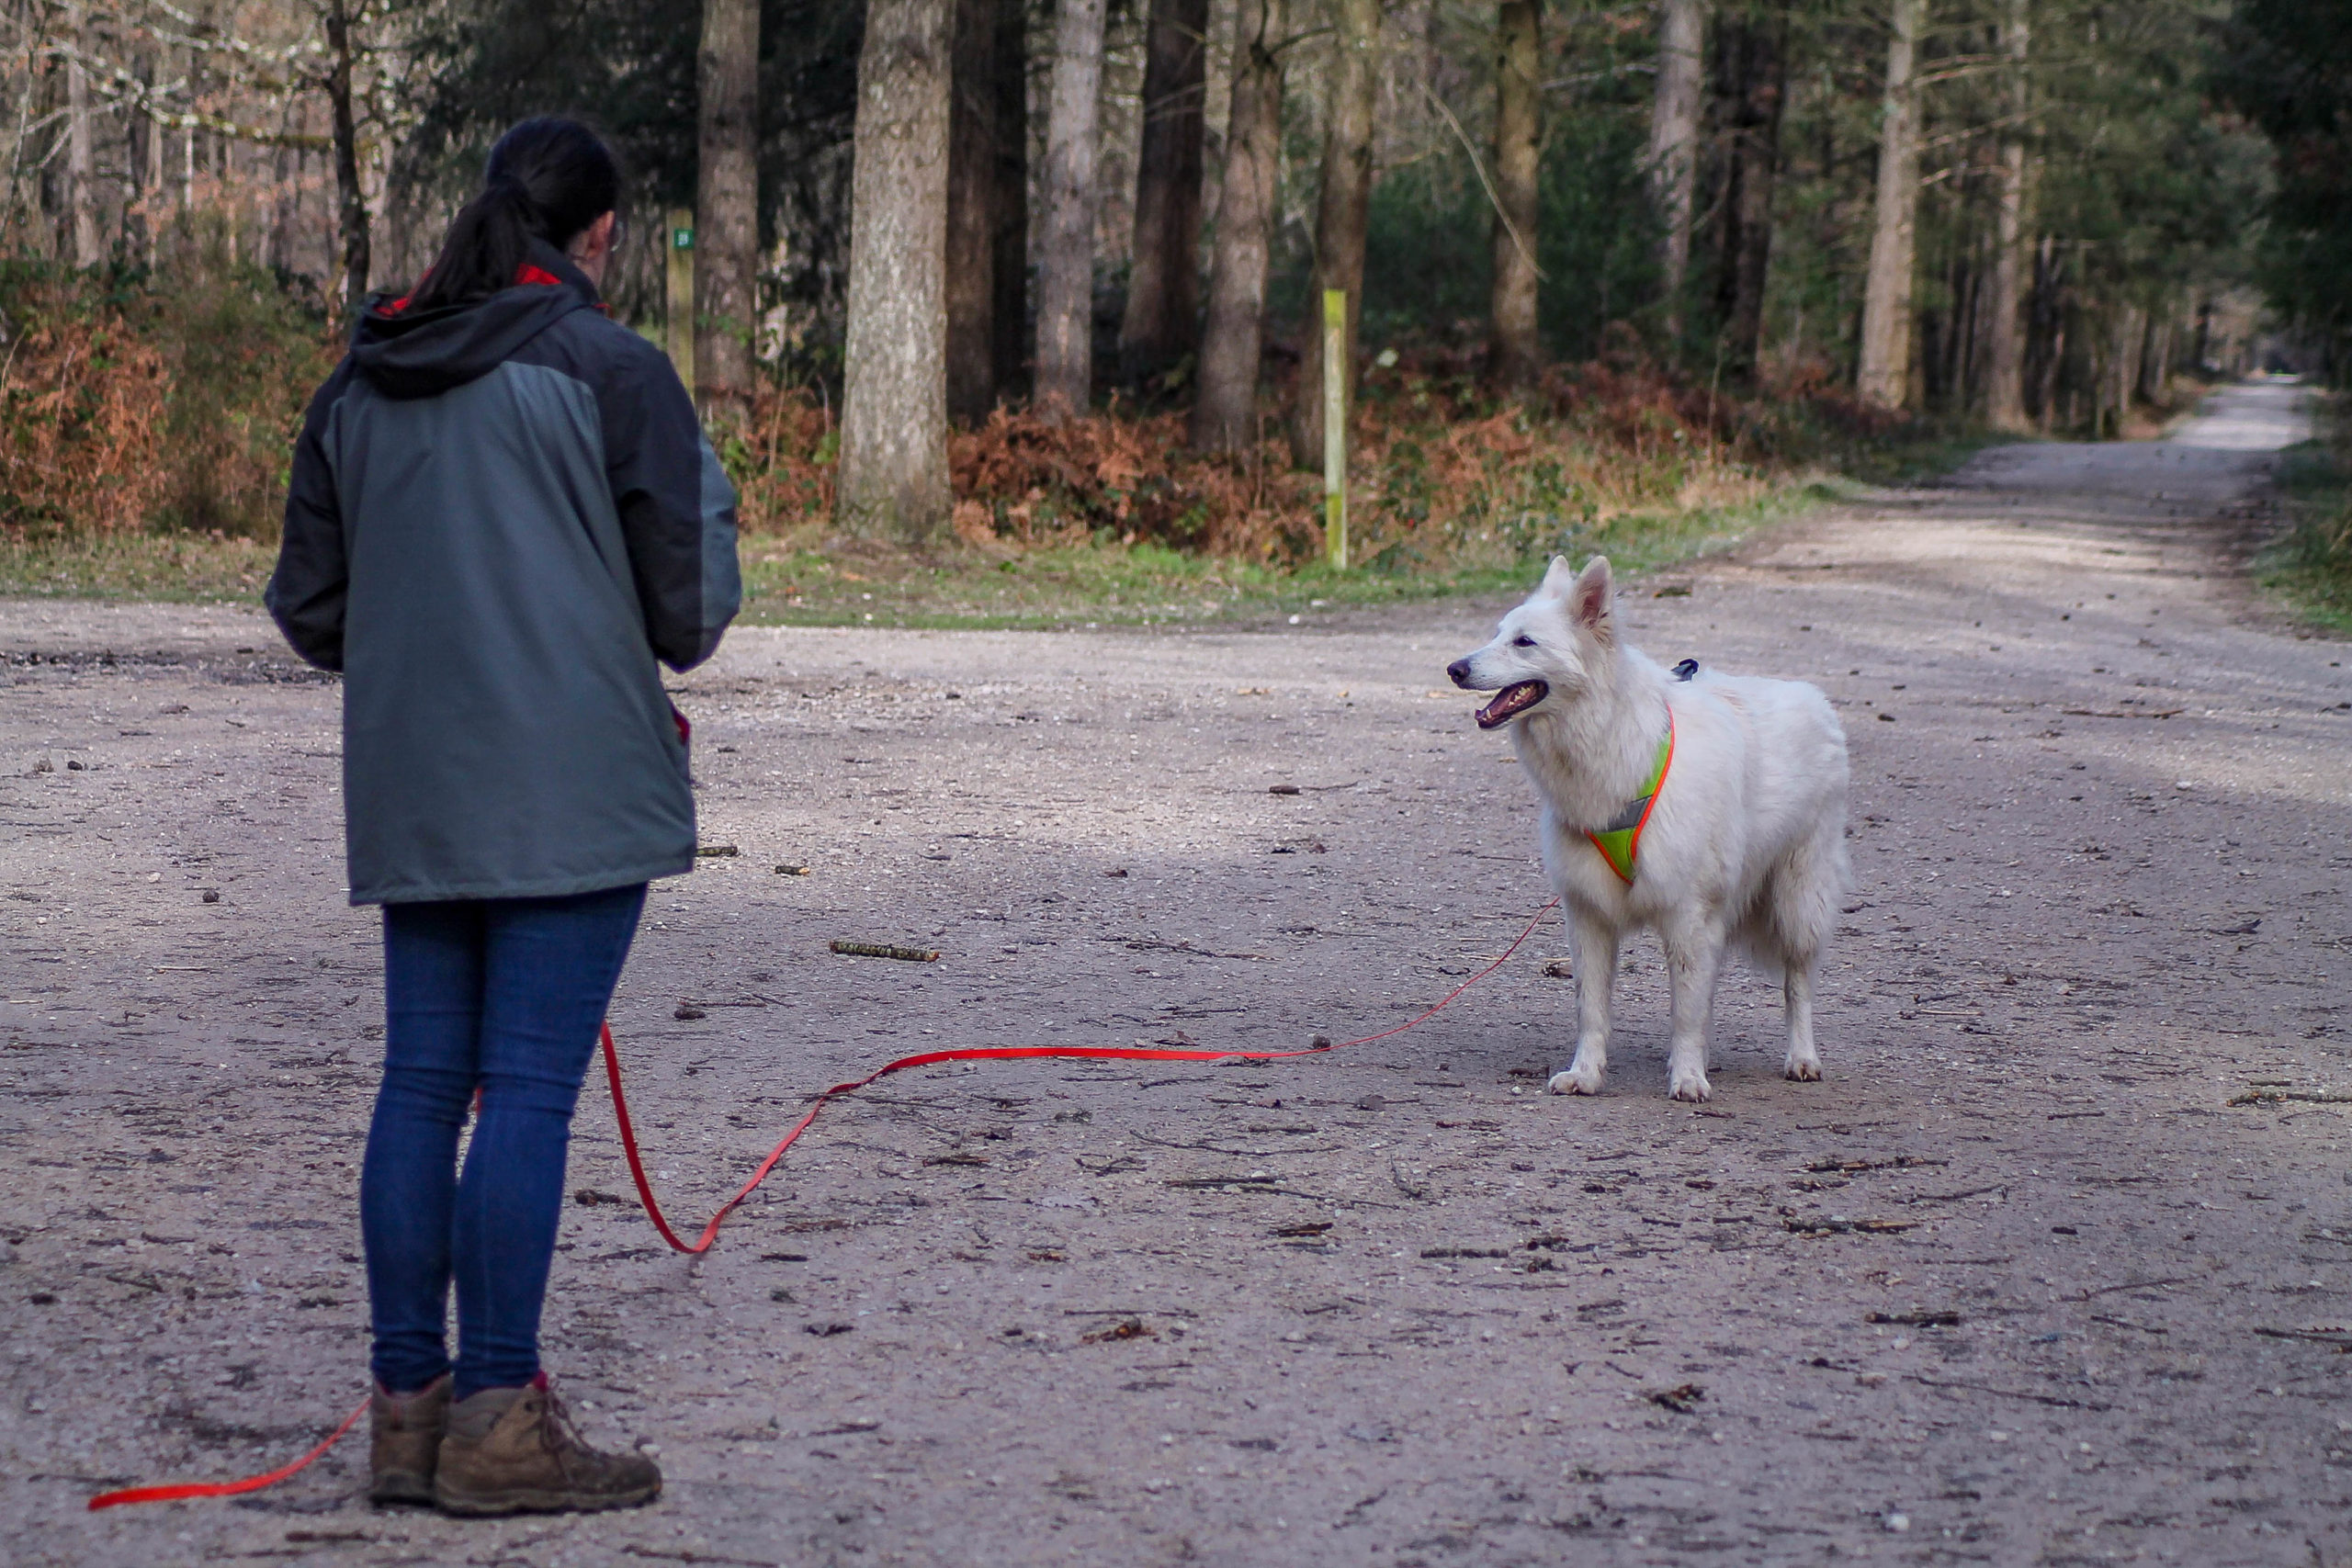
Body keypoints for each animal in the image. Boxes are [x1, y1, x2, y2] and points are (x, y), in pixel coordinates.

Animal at [1439, 554, 1844, 1104]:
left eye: (1524, 642)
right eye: (1497, 633)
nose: (1455, 669)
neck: (1612, 744)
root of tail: (1814, 698)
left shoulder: (1688, 913)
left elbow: (1686, 1010)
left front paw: (1687, 1077)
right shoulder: (1588, 914)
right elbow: (1592, 1009)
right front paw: (1586, 1074)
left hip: (1798, 899)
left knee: (1797, 983)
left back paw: (1801, 1057)